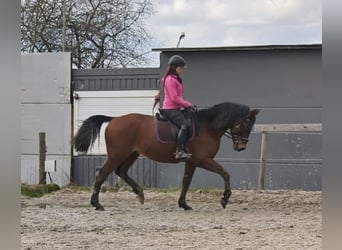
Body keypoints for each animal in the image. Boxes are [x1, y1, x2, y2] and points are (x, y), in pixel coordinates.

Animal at [72, 102, 260, 210]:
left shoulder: (192, 161)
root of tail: (115, 119)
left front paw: (183, 204)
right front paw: (224, 199)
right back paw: (97, 204)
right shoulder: (203, 160)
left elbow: (186, 181)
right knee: (102, 174)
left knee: (121, 171)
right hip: (116, 155)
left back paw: (139, 193)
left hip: (132, 153)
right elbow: (225, 173)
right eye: (246, 124)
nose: (241, 147)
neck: (207, 126)